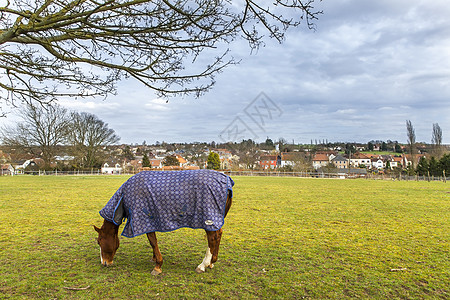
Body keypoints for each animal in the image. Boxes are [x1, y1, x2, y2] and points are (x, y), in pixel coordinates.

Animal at [95, 170, 236, 276]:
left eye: (99, 241)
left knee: (212, 238)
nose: (104, 263)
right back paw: (212, 262)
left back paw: (203, 265)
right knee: (218, 235)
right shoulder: (151, 221)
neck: (123, 199)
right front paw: (154, 259)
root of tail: (226, 179)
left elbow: (152, 241)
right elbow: (153, 242)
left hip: (209, 219)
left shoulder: (145, 220)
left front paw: (158, 266)